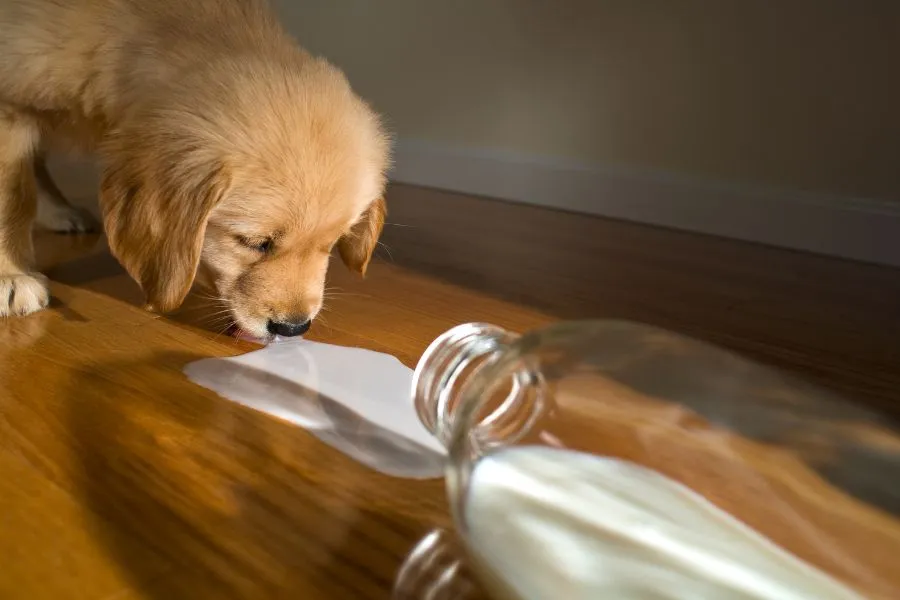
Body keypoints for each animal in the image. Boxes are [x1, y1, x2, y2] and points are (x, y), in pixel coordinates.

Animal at [0, 0, 390, 338]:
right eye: (255, 243)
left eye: (333, 244)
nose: (294, 328)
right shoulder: (12, 99)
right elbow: (13, 196)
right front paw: (11, 275)